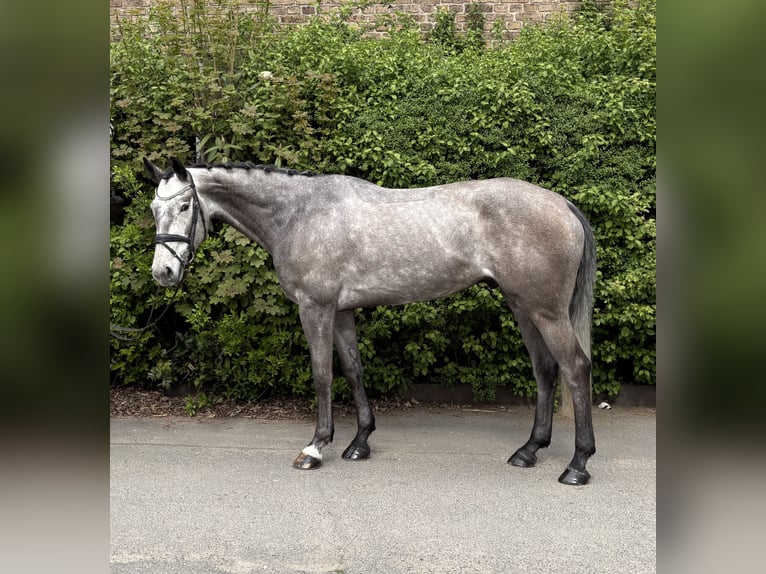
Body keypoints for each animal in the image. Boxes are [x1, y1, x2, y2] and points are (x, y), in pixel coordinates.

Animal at [143, 156, 597, 485]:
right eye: (153, 208)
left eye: (185, 205)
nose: (163, 272)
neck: (298, 213)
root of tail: (562, 204)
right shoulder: (342, 312)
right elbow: (353, 370)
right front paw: (359, 442)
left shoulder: (316, 309)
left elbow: (322, 375)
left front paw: (315, 448)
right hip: (523, 306)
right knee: (545, 370)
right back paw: (529, 450)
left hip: (546, 311)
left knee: (575, 369)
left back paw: (577, 465)